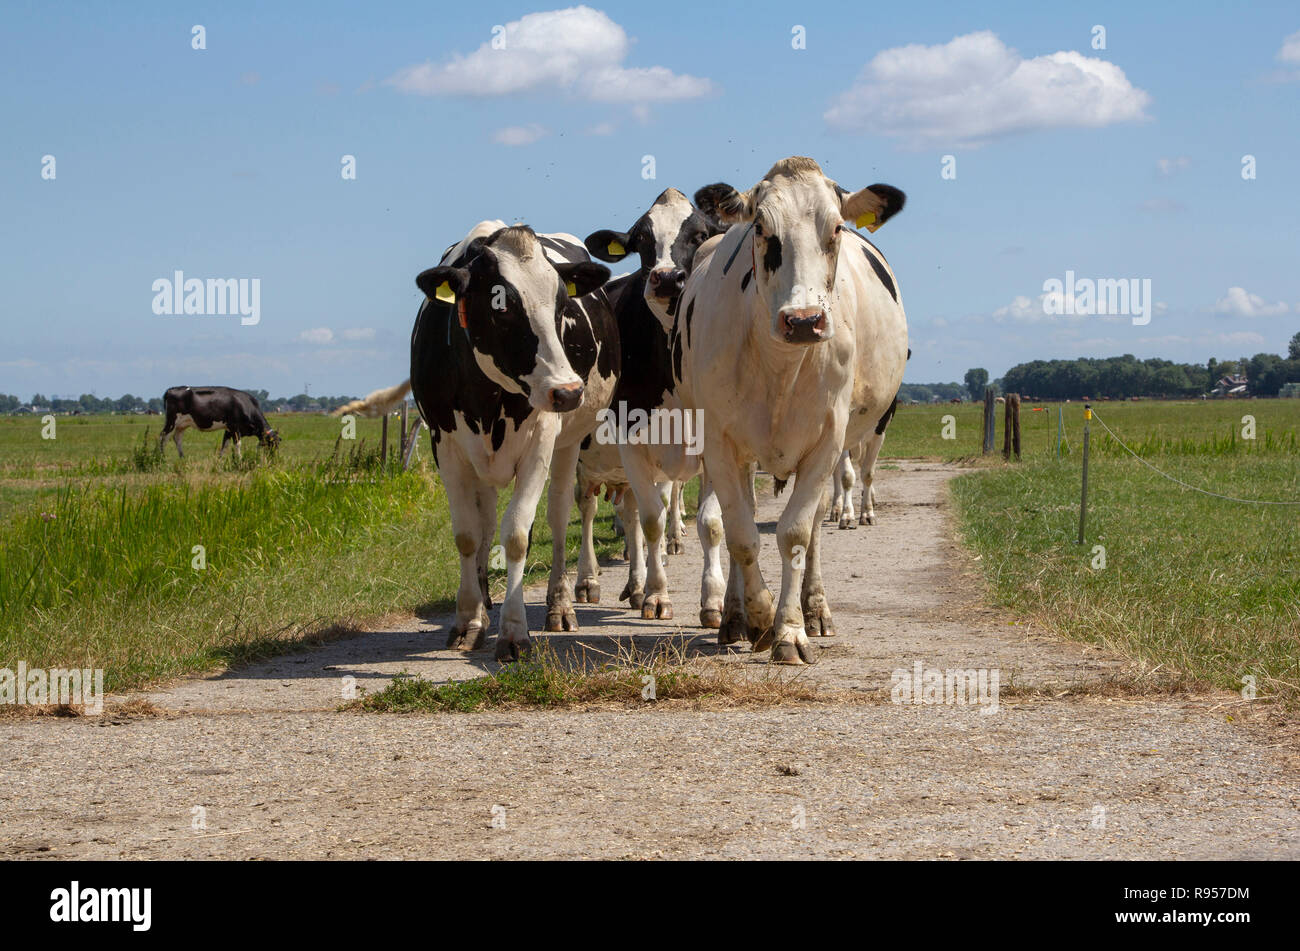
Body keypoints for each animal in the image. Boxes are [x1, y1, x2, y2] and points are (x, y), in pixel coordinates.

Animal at [413, 222, 621, 659]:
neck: (487, 396)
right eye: (502, 307)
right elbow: (468, 534)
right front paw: (468, 620)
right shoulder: (446, 444)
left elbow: (517, 535)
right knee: (486, 522)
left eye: (562, 306)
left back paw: (560, 606)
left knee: (559, 516)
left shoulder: (540, 441)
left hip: (568, 445)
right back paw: (483, 604)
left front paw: (513, 632)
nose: (568, 391)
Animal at [585, 187, 728, 623]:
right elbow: (652, 522)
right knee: (597, 513)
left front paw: (714, 600)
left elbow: (711, 523)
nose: (666, 277)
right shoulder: (631, 443)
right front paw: (657, 595)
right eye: (641, 241)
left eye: (700, 235)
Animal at [686, 155, 909, 659]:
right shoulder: (720, 444)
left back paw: (816, 609)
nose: (804, 321)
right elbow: (742, 535)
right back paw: (734, 618)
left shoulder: (826, 442)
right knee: (740, 520)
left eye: (838, 227)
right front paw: (759, 616)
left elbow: (795, 533)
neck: (780, 368)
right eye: (761, 228)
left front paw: (789, 630)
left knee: (817, 527)